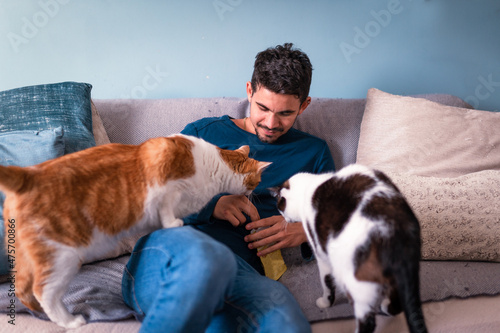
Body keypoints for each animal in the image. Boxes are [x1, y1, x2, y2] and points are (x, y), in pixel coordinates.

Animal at [0, 134, 270, 328]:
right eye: (257, 181)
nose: (255, 194)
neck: (212, 167)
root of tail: (28, 173)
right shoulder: (162, 184)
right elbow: (165, 207)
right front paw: (173, 224)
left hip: (29, 254)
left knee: (23, 288)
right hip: (63, 256)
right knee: (43, 291)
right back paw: (70, 321)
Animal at [276, 164, 428, 332]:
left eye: (280, 208)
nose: (284, 218)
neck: (310, 185)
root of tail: (394, 231)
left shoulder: (322, 257)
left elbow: (326, 284)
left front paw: (325, 303)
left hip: (358, 284)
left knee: (368, 322)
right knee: (398, 303)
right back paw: (385, 306)